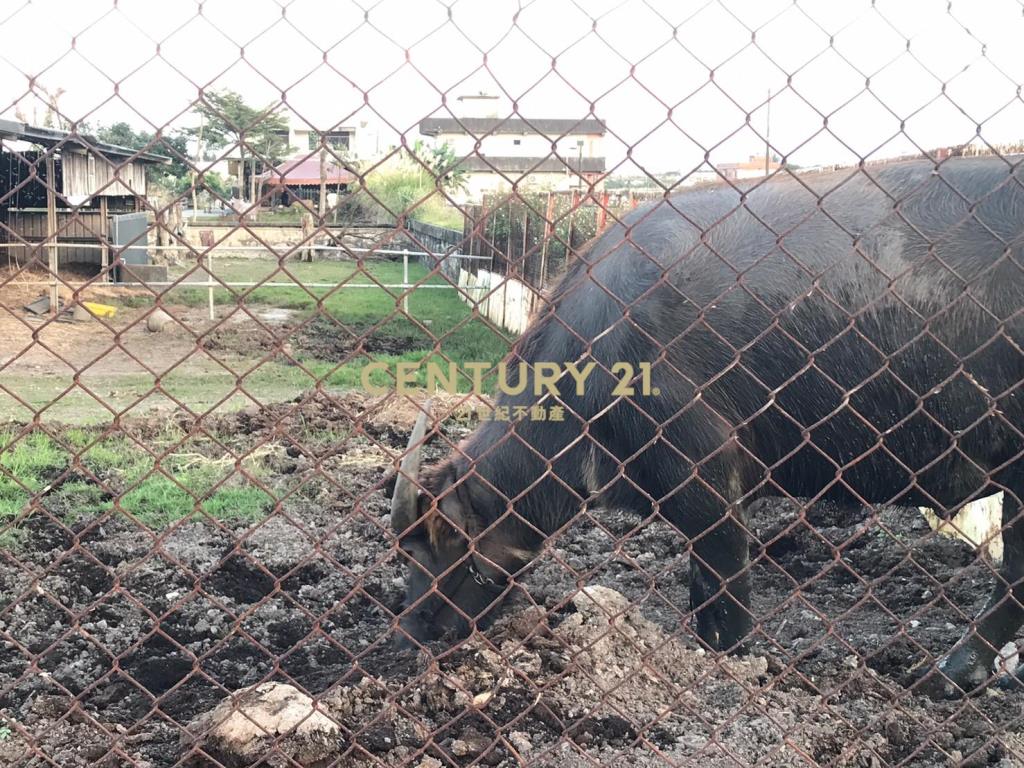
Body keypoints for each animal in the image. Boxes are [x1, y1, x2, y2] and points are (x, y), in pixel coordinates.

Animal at [391, 156, 1024, 696]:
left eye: (431, 549)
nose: (410, 634)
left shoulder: (709, 483)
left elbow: (724, 605)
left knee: (1012, 582)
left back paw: (951, 674)